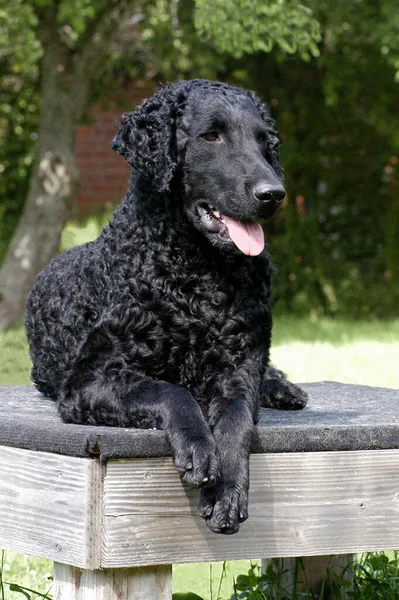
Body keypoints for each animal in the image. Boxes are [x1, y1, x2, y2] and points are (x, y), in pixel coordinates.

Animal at [25, 79, 306, 536]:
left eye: (266, 142)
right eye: (211, 136)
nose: (273, 195)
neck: (196, 279)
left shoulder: (238, 372)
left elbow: (236, 422)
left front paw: (228, 489)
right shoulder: (89, 380)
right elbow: (170, 390)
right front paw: (198, 447)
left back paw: (282, 387)